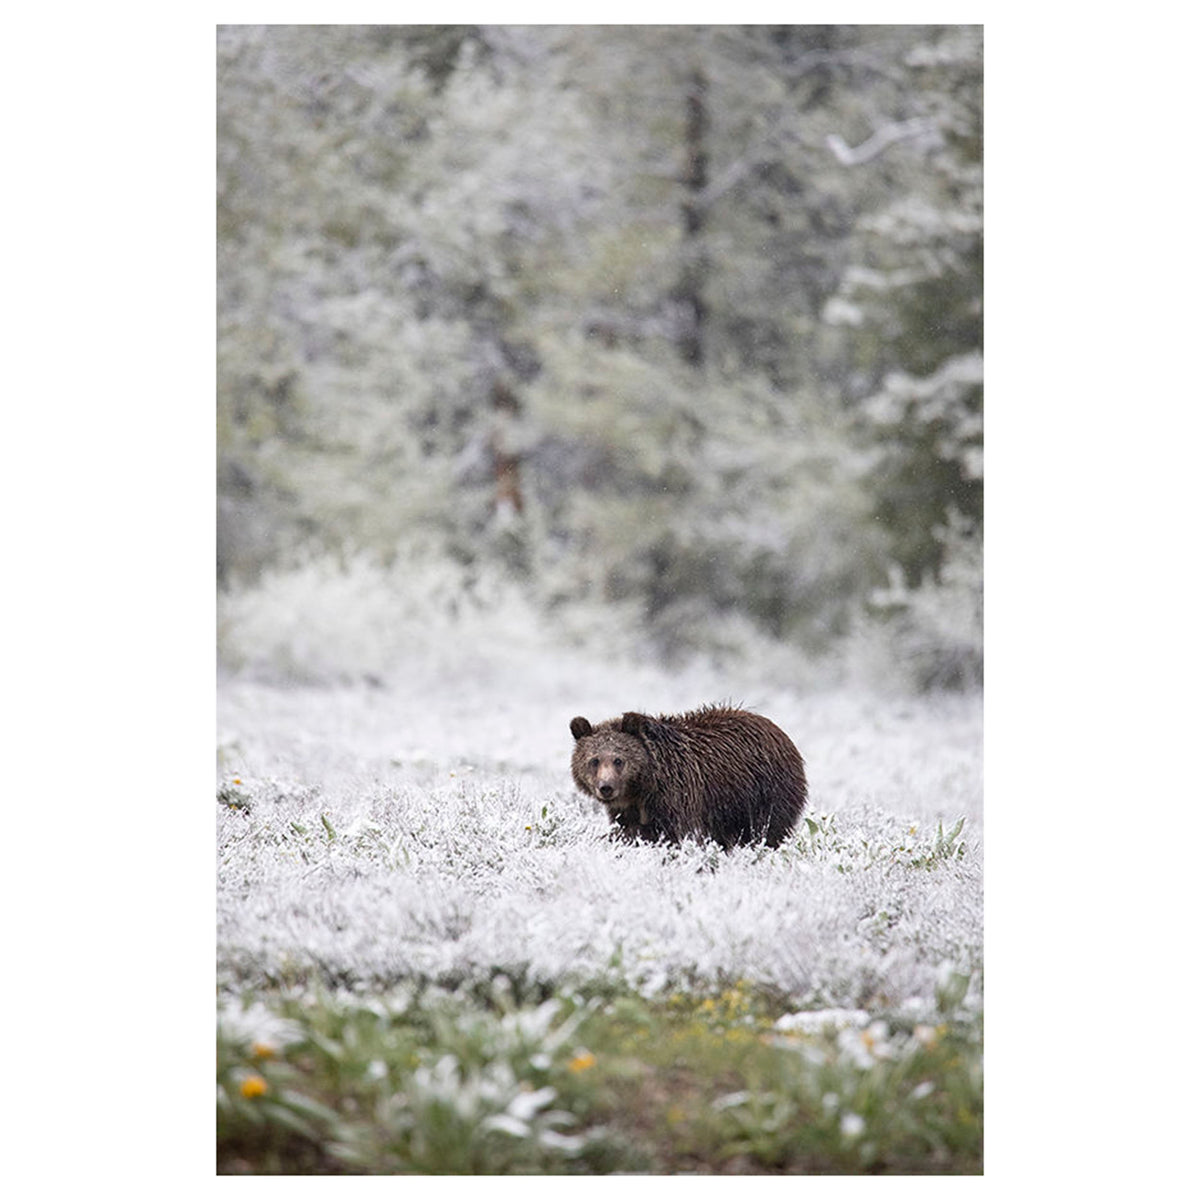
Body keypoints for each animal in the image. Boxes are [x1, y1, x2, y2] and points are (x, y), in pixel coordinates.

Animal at [569, 704, 807, 849]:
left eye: (618, 760)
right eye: (594, 760)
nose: (606, 787)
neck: (642, 786)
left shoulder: (676, 792)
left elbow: (667, 831)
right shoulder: (626, 808)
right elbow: (626, 825)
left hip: (764, 792)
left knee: (766, 830)